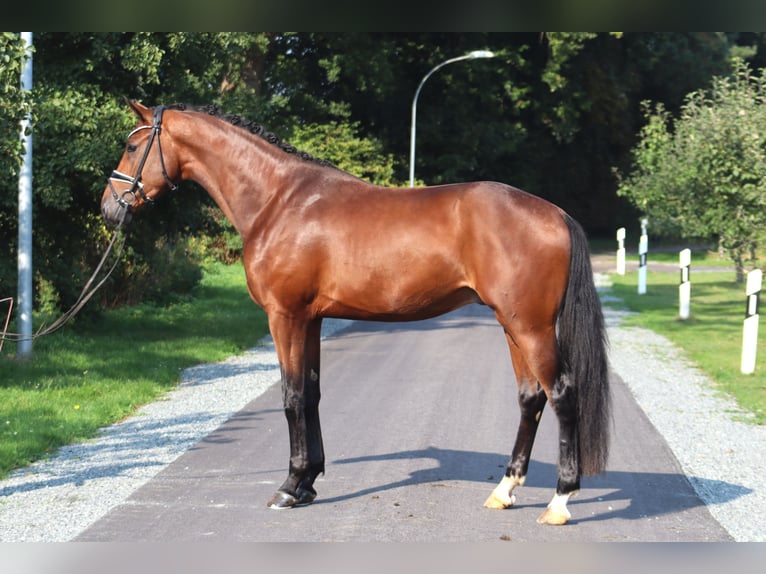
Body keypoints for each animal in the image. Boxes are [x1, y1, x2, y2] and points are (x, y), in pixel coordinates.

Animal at [100, 102, 612, 528]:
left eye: (132, 145)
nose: (109, 208)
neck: (279, 201)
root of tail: (556, 213)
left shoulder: (285, 316)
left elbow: (291, 396)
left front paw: (289, 488)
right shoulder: (311, 319)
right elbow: (311, 393)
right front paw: (308, 482)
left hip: (531, 328)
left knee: (562, 394)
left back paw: (559, 502)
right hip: (513, 326)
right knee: (531, 398)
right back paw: (504, 491)